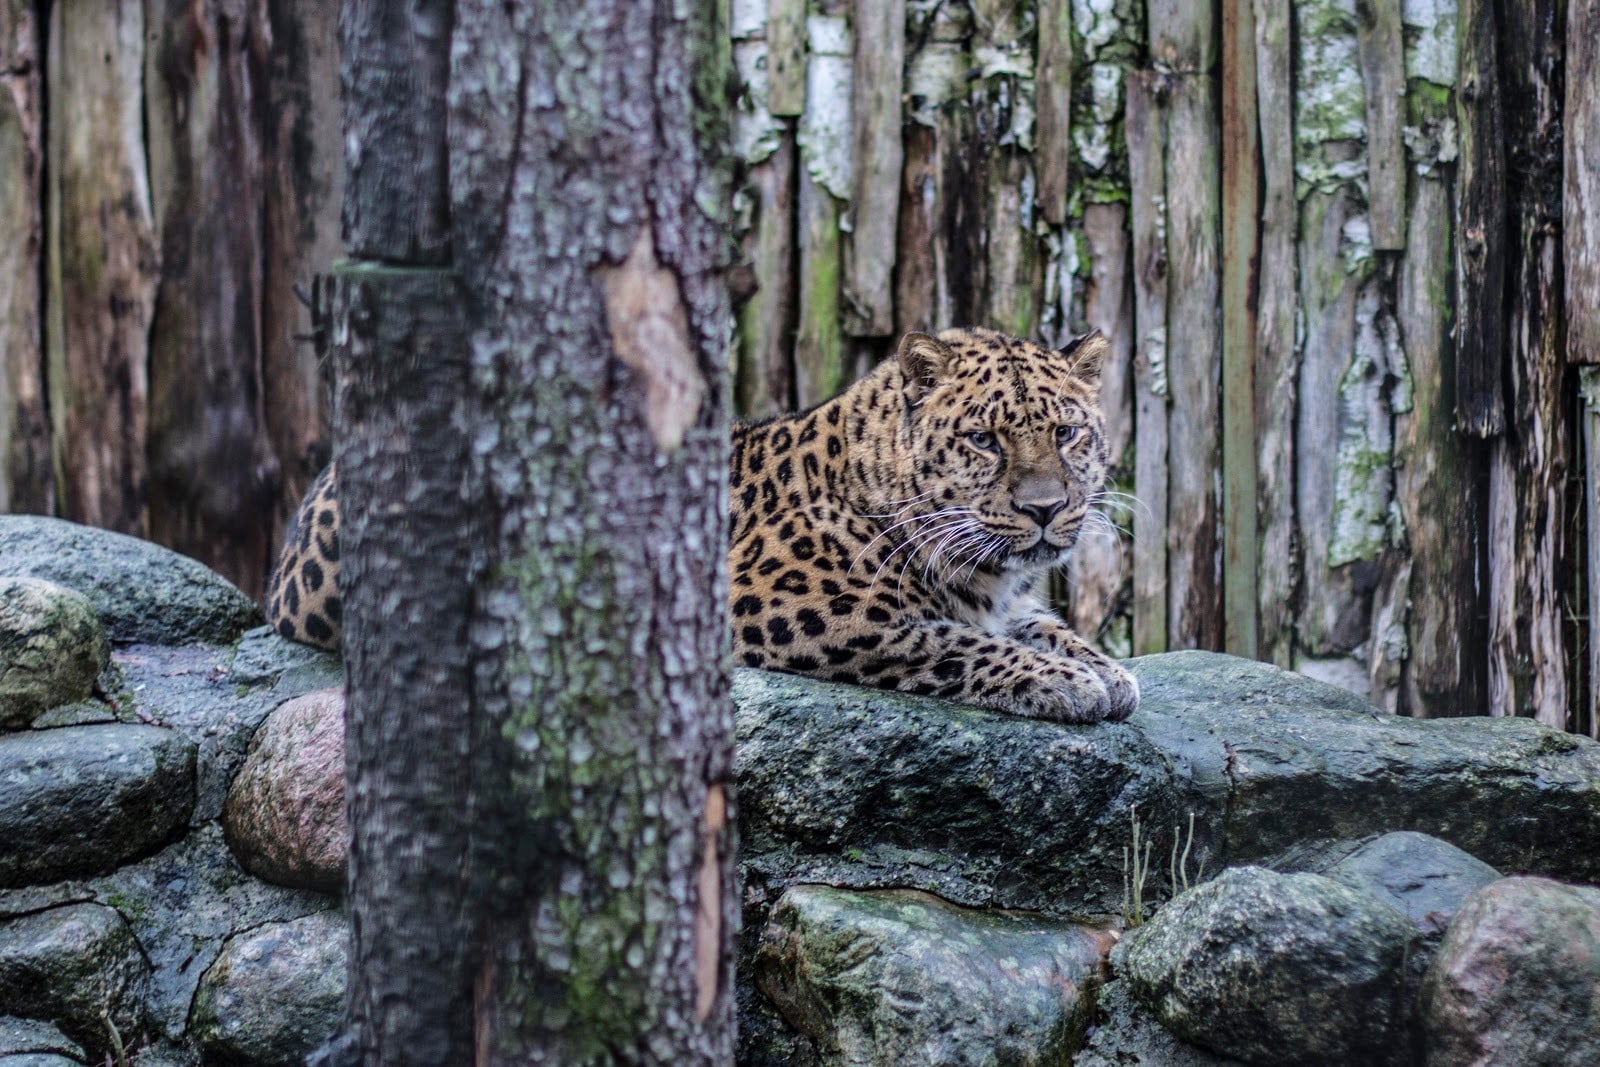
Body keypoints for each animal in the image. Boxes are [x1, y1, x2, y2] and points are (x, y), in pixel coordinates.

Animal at [262, 326, 1139, 726]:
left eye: (1067, 433)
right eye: (985, 439)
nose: (1045, 507)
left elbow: (1042, 623)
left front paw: (1105, 668)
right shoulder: (776, 604)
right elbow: (942, 639)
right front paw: (1066, 681)